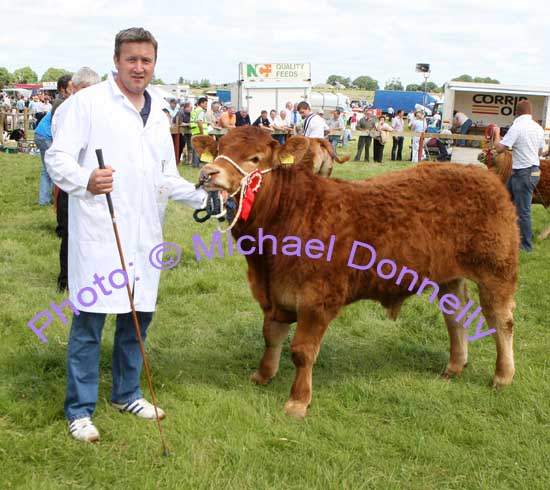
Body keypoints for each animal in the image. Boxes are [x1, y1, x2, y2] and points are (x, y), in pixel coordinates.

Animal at [194, 125, 520, 418]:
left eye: (256, 158)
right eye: (220, 148)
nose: (208, 173)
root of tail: (485, 174)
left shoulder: (317, 300)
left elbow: (302, 351)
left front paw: (298, 401)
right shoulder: (273, 294)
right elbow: (271, 336)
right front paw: (262, 375)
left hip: (497, 269)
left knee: (501, 320)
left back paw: (502, 376)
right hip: (448, 276)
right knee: (455, 318)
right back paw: (454, 366)